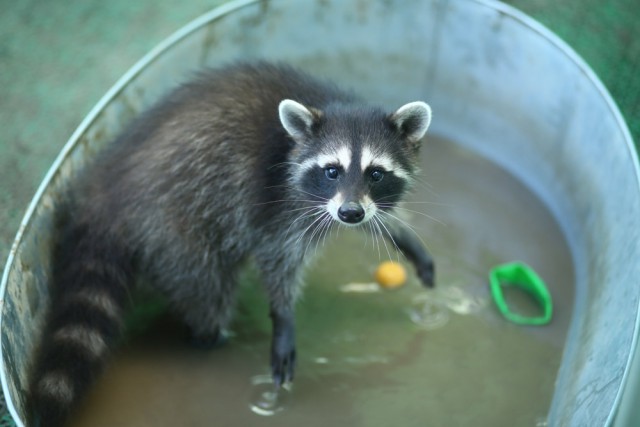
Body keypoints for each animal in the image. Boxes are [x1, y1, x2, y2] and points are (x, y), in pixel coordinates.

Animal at [27, 61, 432, 427]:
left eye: (375, 173)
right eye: (332, 170)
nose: (350, 213)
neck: (331, 105)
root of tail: (105, 191)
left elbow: (373, 219)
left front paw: (403, 236)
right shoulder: (278, 204)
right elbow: (277, 259)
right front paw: (283, 316)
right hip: (173, 227)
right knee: (208, 295)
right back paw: (211, 337)